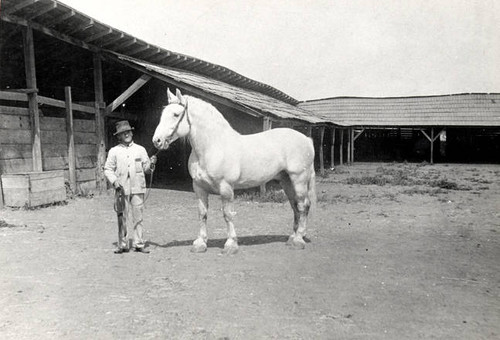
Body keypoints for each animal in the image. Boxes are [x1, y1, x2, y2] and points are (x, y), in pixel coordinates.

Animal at [152, 89, 316, 254]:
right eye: (162, 114)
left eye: (176, 114)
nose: (156, 141)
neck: (212, 147)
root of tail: (307, 139)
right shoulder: (199, 188)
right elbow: (202, 214)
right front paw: (200, 243)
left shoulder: (226, 188)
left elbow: (227, 215)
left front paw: (231, 244)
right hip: (286, 180)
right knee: (295, 206)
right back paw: (292, 237)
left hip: (299, 179)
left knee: (303, 206)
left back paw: (298, 240)